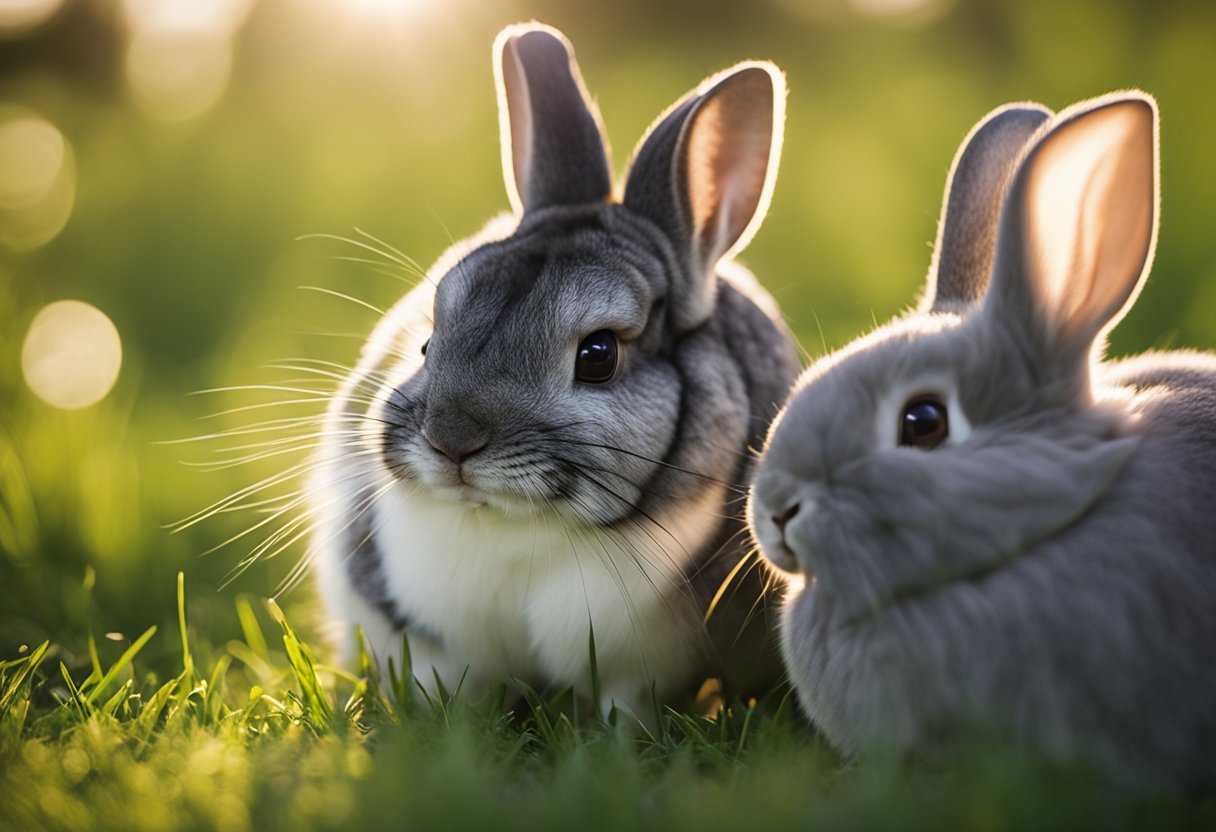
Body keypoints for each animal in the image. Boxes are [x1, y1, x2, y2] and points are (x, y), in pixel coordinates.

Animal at [308, 22, 802, 720]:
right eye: (428, 342)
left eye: (598, 356)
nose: (451, 441)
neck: (517, 526)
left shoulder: (639, 666)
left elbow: (626, 705)